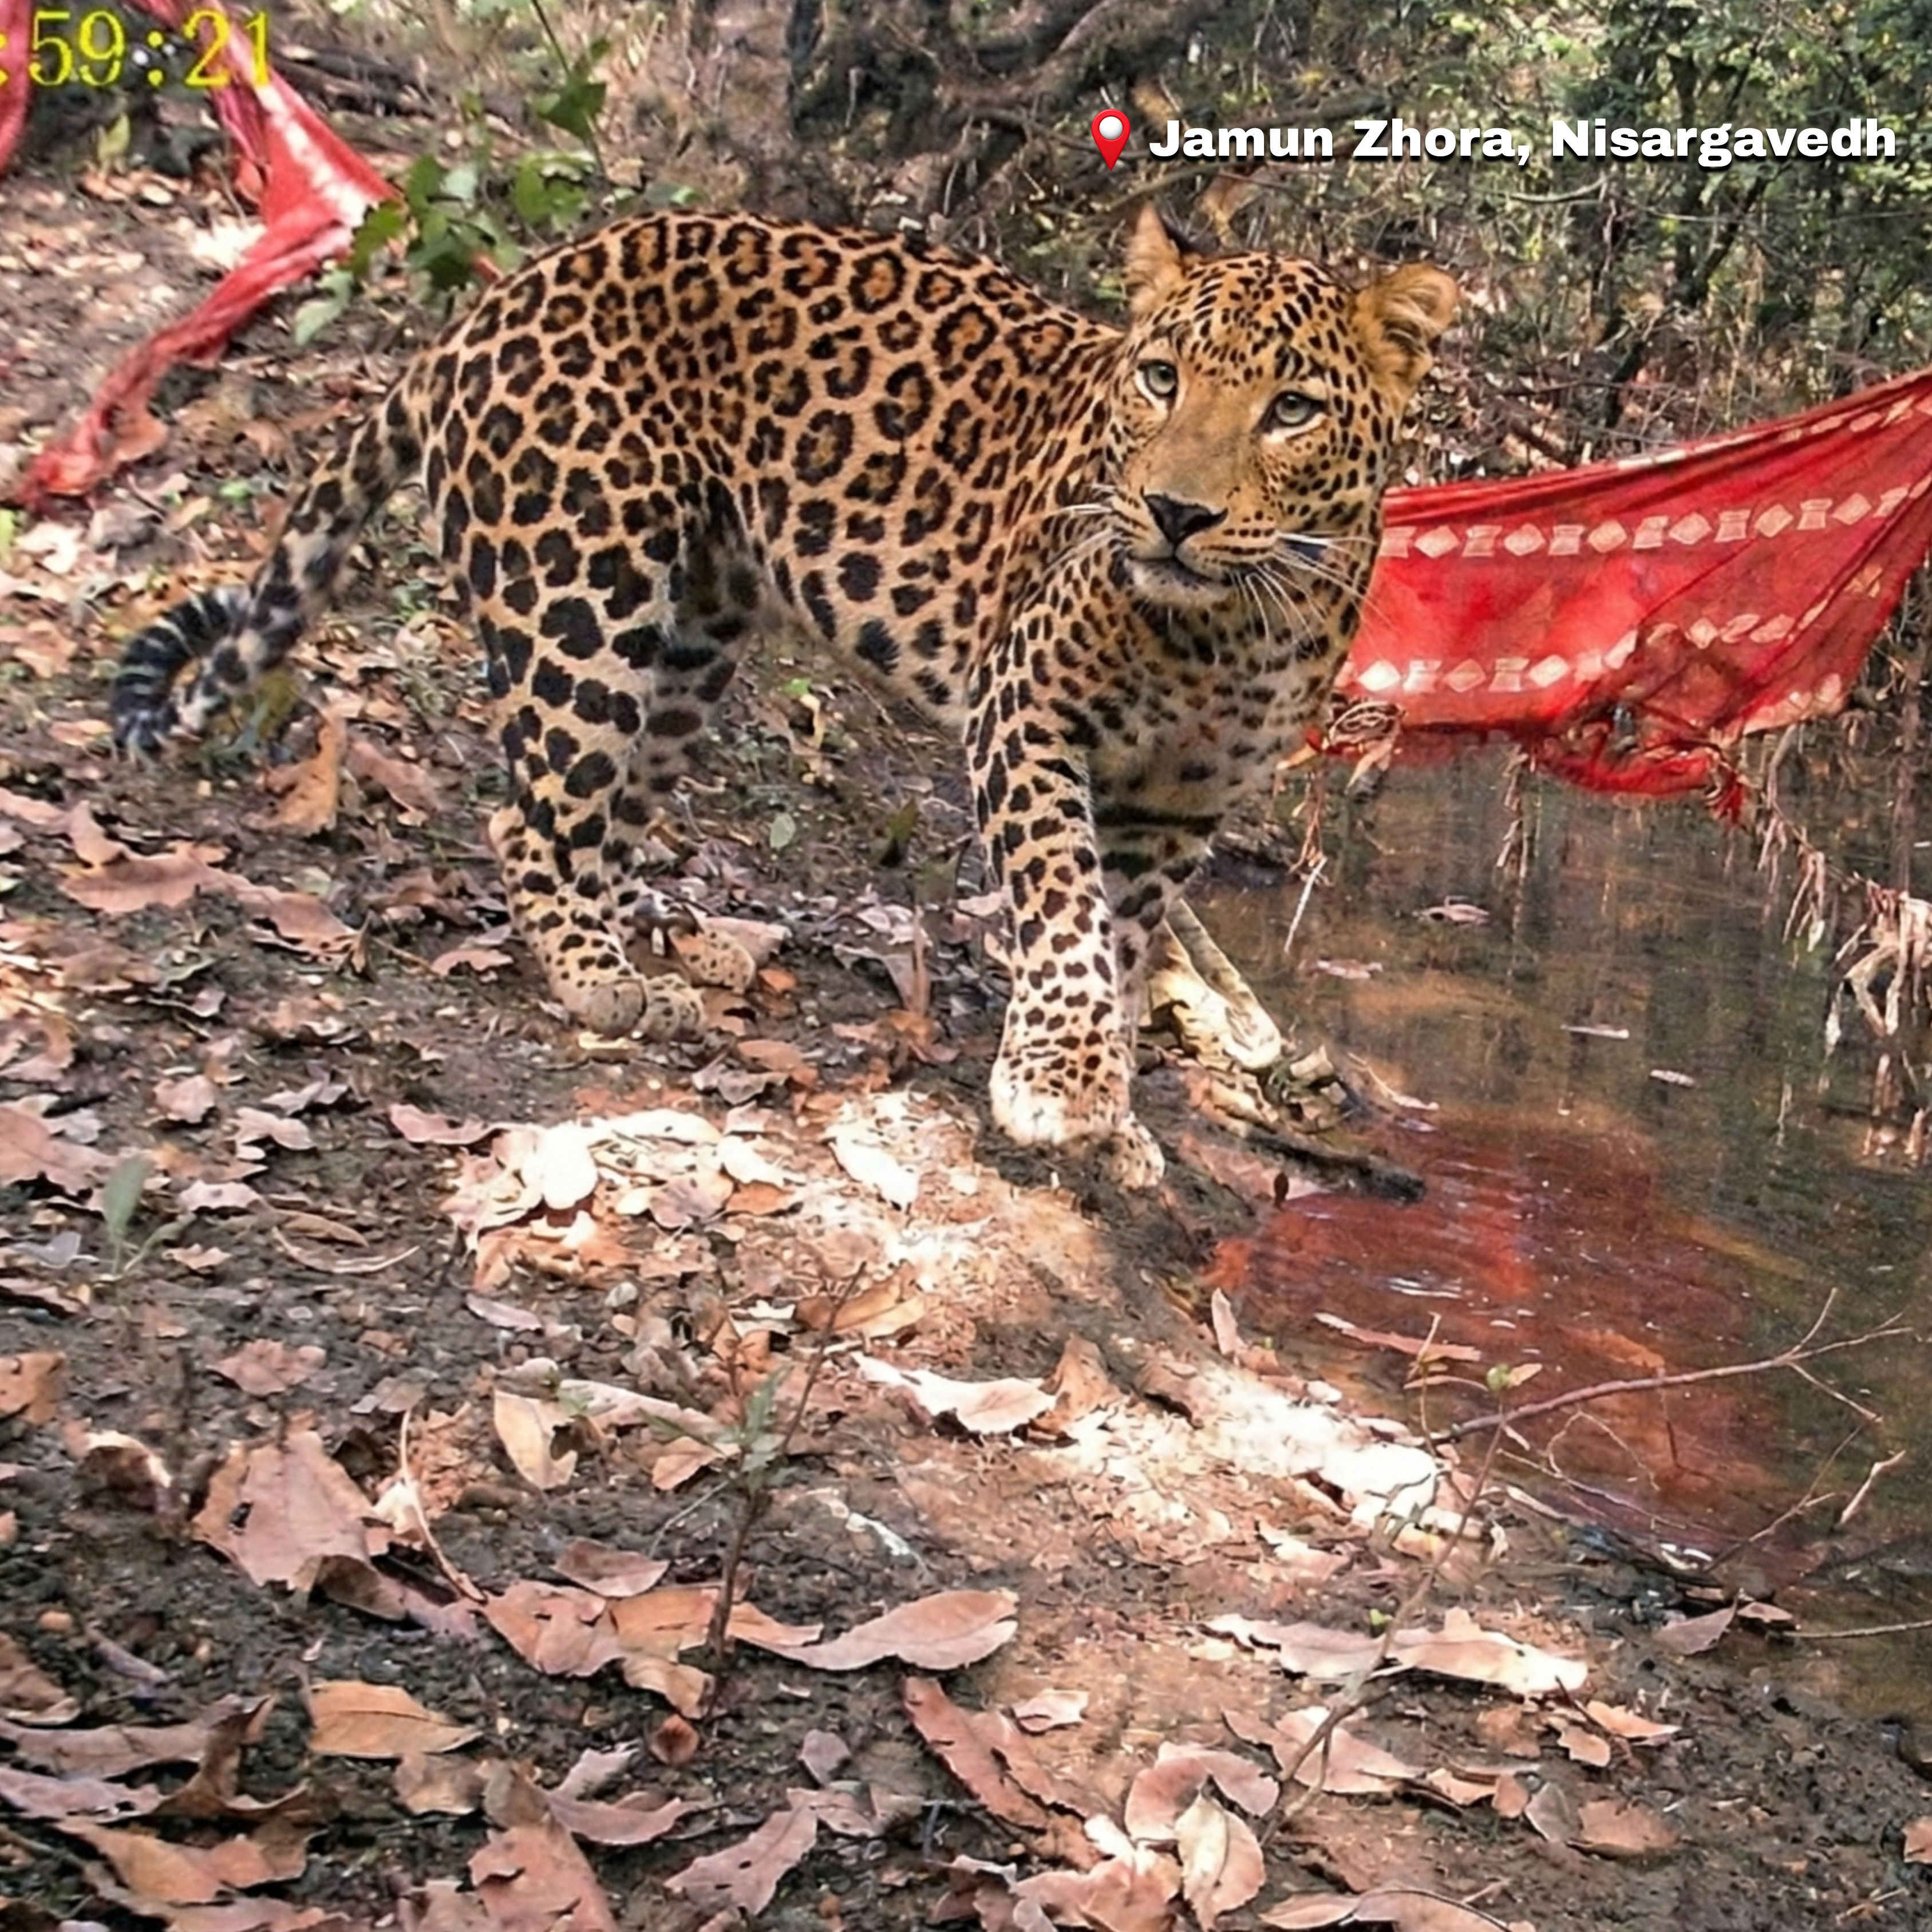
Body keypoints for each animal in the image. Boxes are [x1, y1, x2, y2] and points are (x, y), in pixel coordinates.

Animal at [112, 205, 1456, 1186]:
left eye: (1291, 409)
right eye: (1162, 379)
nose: (1174, 513)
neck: (1230, 627)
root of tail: (495, 300)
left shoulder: (1179, 800)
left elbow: (1125, 947)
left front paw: (1110, 1110)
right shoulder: (1025, 710)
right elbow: (1066, 915)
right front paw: (1059, 1086)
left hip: (691, 644)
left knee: (607, 811)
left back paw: (667, 951)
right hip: (580, 598)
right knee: (530, 811)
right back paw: (594, 975)